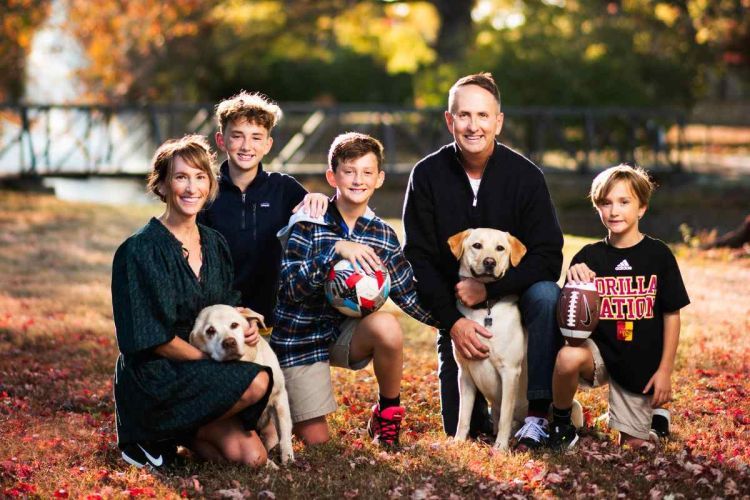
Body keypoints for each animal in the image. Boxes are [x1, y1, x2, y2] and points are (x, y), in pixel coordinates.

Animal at [189, 304, 296, 464]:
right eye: (210, 331)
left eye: (234, 325)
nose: (229, 342)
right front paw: (269, 464)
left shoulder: (280, 397)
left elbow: (284, 430)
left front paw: (287, 456)